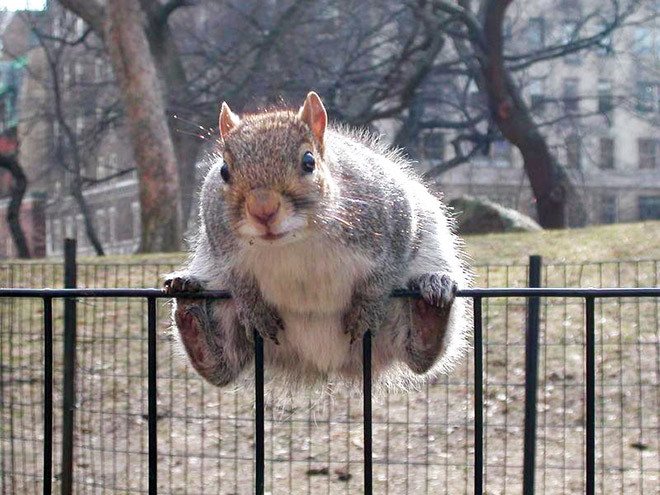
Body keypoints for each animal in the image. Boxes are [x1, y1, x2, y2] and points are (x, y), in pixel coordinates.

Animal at [164, 91, 470, 390]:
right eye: (224, 170)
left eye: (309, 162)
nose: (263, 210)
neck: (295, 241)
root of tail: (326, 362)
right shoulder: (220, 245)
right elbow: (238, 282)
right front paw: (253, 309)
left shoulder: (393, 218)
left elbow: (386, 269)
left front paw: (367, 307)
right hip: (223, 305)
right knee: (222, 366)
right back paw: (189, 307)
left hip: (422, 266)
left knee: (419, 356)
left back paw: (430, 306)